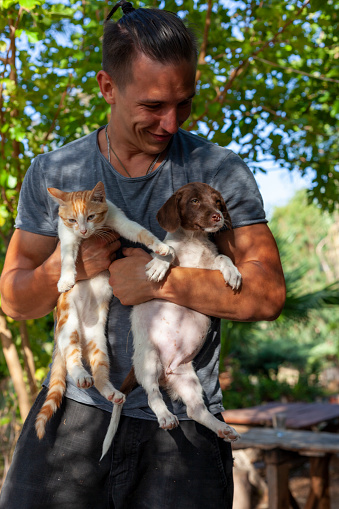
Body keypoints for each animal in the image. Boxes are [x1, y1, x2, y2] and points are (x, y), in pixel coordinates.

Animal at [35, 181, 175, 438]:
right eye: (72, 220)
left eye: (91, 216)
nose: (83, 231)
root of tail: (81, 328)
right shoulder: (67, 237)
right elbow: (67, 258)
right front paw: (66, 279)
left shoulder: (120, 221)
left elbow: (142, 232)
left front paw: (162, 248)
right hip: (68, 325)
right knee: (71, 359)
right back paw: (81, 376)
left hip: (98, 340)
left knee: (99, 371)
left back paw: (111, 393)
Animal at [101, 182, 242, 456]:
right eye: (195, 201)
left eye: (218, 201)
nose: (218, 217)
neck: (194, 240)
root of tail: (165, 371)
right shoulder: (177, 255)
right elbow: (170, 250)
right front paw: (158, 264)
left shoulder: (207, 268)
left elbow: (222, 257)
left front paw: (233, 272)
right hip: (149, 361)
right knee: (153, 395)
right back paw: (166, 416)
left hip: (188, 379)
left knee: (195, 410)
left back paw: (222, 428)